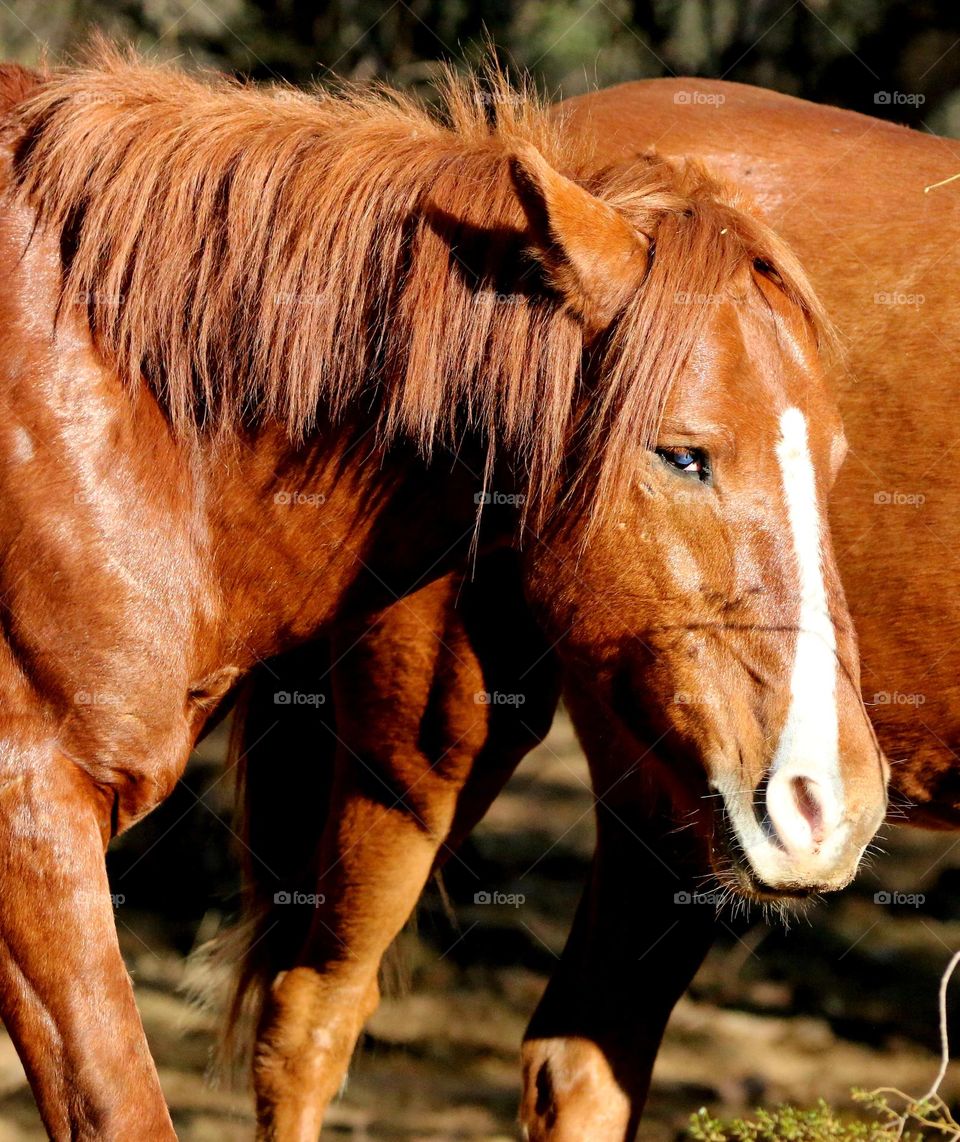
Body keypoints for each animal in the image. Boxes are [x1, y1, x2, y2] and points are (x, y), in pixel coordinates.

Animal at [225, 79, 960, 1139]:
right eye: (683, 455)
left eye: (835, 464)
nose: (833, 805)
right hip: (426, 753)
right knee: (312, 1018)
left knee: (578, 1059)